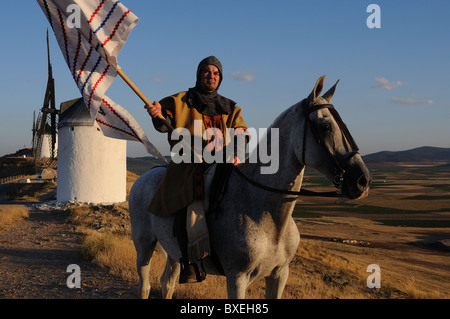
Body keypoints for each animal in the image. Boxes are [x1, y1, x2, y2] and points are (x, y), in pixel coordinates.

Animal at [128, 75, 370, 300]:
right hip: (143, 245)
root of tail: (145, 176)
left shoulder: (280, 274)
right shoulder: (237, 278)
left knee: (167, 284)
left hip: (174, 252)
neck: (267, 214)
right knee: (145, 285)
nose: (363, 180)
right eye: (326, 126)